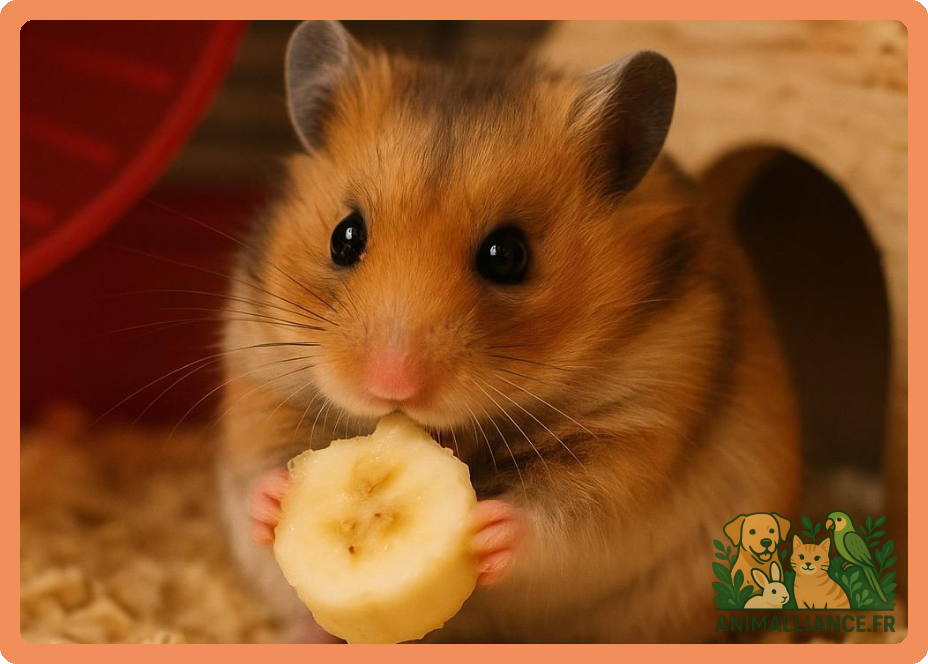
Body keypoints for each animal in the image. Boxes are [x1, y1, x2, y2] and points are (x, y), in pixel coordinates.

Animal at [216, 20, 800, 643]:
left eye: (508, 255)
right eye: (344, 238)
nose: (390, 384)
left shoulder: (642, 422)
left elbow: (568, 512)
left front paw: (486, 527)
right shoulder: (261, 374)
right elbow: (255, 460)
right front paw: (276, 499)